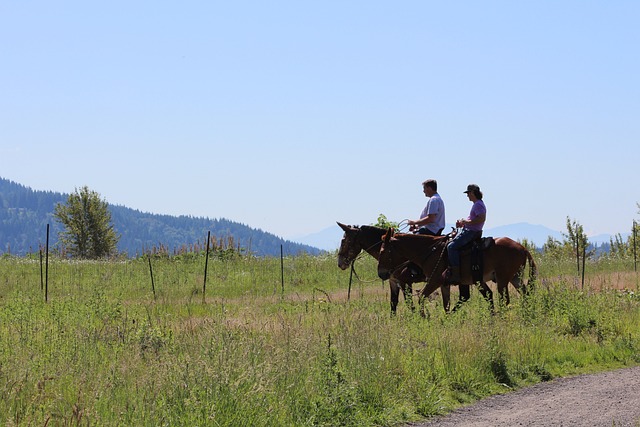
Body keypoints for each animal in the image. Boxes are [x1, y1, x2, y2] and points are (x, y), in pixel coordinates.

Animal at [378, 229, 536, 312]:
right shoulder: (444, 284)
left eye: (382, 251)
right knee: (525, 294)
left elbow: (422, 296)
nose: (381, 273)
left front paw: (424, 318)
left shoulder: (434, 280)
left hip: (503, 279)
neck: (431, 251)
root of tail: (522, 247)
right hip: (514, 277)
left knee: (505, 300)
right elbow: (446, 304)